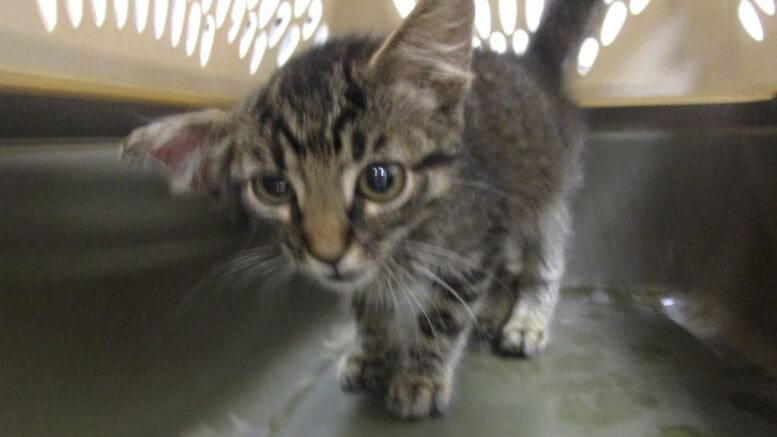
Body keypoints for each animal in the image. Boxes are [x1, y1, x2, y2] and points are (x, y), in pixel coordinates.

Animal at [124, 0, 600, 418]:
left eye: (380, 180)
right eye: (273, 187)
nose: (328, 254)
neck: (409, 235)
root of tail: (532, 63)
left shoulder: (472, 245)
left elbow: (443, 316)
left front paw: (420, 377)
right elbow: (368, 303)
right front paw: (375, 353)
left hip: (548, 198)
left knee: (543, 264)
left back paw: (526, 320)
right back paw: (491, 309)